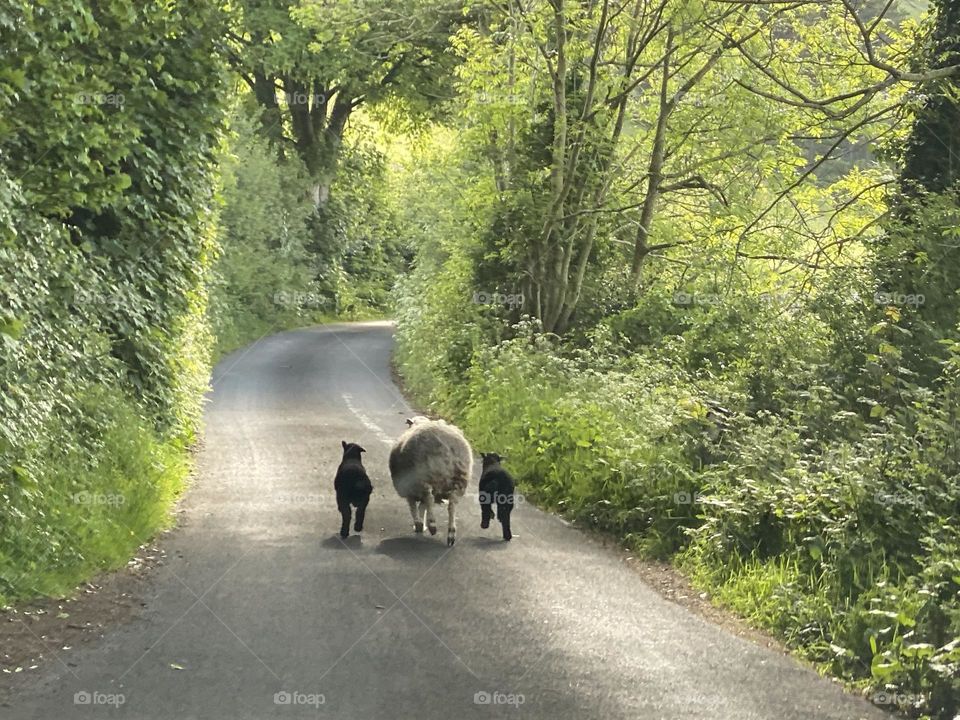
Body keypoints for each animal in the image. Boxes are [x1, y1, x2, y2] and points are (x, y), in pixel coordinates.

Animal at [389, 416, 472, 546]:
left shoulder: (409, 488)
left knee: (429, 498)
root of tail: (444, 448)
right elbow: (422, 507)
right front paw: (421, 524)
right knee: (452, 506)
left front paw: (418, 524)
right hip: (459, 478)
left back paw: (432, 524)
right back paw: (451, 533)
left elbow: (414, 507)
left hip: (423, 477)